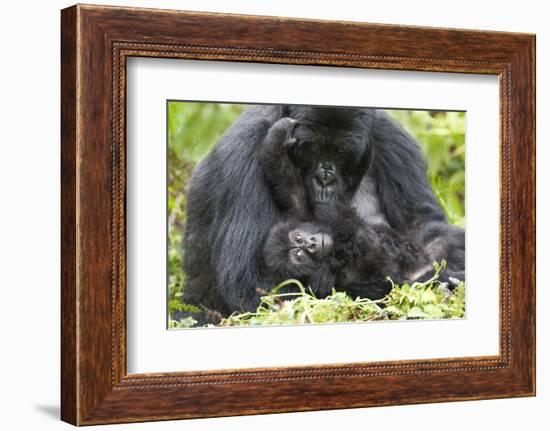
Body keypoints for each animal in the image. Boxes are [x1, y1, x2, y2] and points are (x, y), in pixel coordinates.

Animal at [183, 105, 464, 318]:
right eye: (315, 148)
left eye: (339, 152)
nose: (325, 178)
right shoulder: (245, 146)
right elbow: (251, 288)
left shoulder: (388, 134)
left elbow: (424, 226)